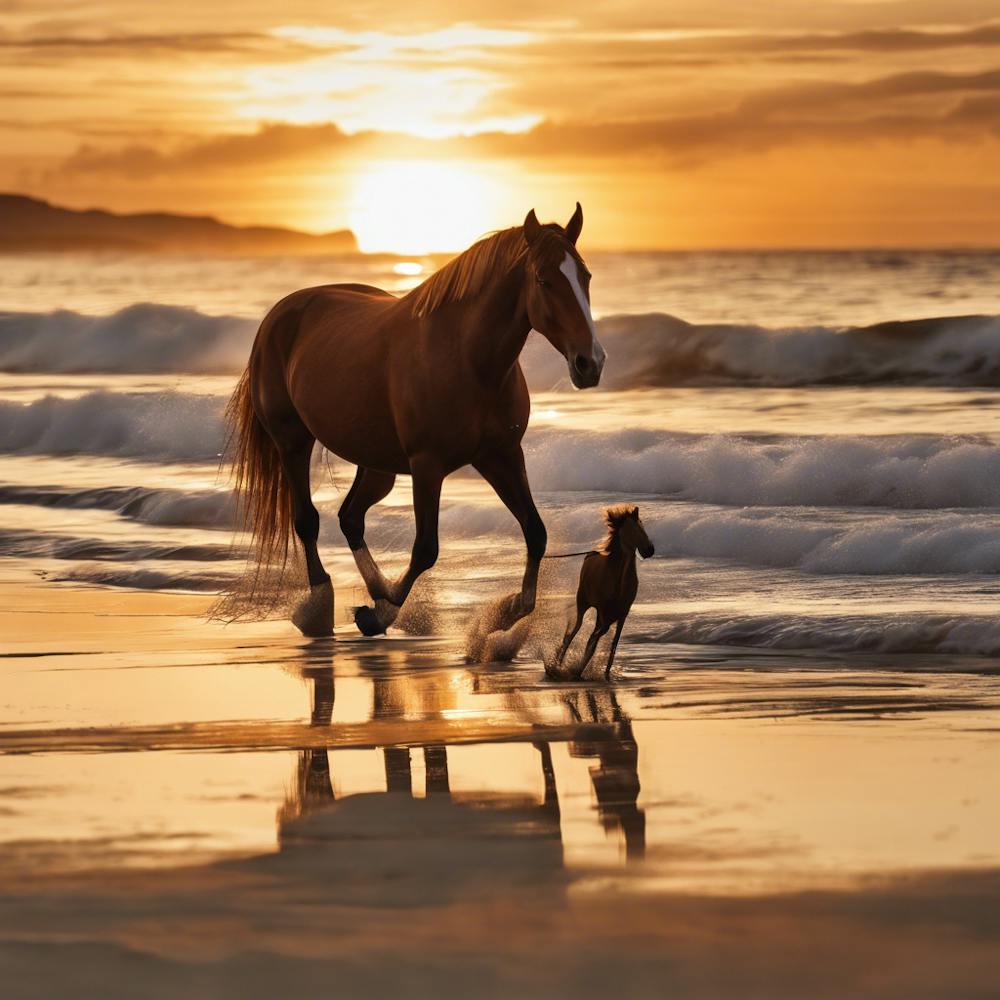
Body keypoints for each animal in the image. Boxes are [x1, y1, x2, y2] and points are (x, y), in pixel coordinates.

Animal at [226, 204, 605, 637]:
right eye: (544, 280)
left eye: (585, 276)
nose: (590, 363)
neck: (468, 359)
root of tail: (278, 315)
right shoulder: (428, 465)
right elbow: (426, 549)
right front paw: (382, 615)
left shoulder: (503, 456)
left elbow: (535, 533)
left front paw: (505, 615)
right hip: (293, 442)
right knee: (307, 520)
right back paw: (323, 605)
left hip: (377, 466)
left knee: (351, 518)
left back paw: (377, 590)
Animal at [550, 505, 654, 681]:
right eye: (632, 529)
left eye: (642, 526)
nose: (649, 550)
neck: (619, 582)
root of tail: (590, 554)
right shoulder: (605, 612)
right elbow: (594, 640)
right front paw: (577, 669)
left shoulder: (622, 615)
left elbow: (612, 646)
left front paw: (604, 674)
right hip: (583, 603)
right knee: (573, 631)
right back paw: (558, 663)